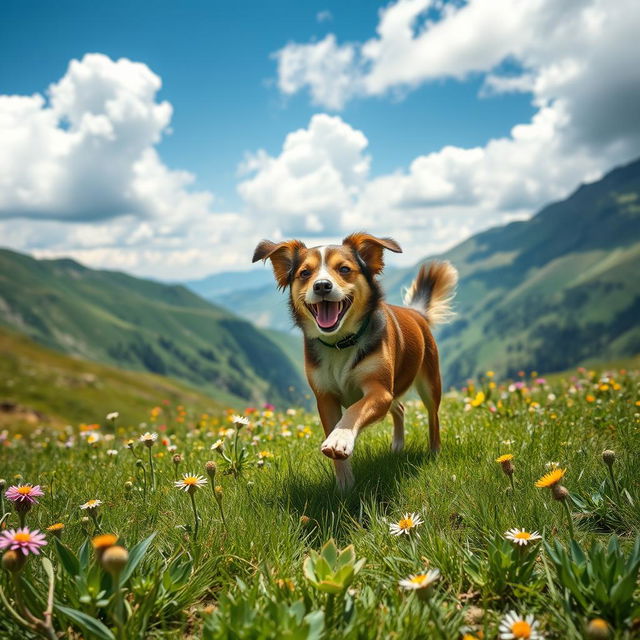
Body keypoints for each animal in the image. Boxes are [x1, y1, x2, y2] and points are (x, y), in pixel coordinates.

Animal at [252, 234, 458, 490]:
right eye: (305, 273)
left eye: (344, 269)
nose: (322, 285)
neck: (340, 342)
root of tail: (417, 313)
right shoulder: (326, 398)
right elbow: (335, 438)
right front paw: (345, 486)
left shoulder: (379, 391)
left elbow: (354, 409)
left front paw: (340, 437)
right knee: (399, 408)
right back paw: (397, 446)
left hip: (429, 382)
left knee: (433, 416)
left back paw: (434, 451)